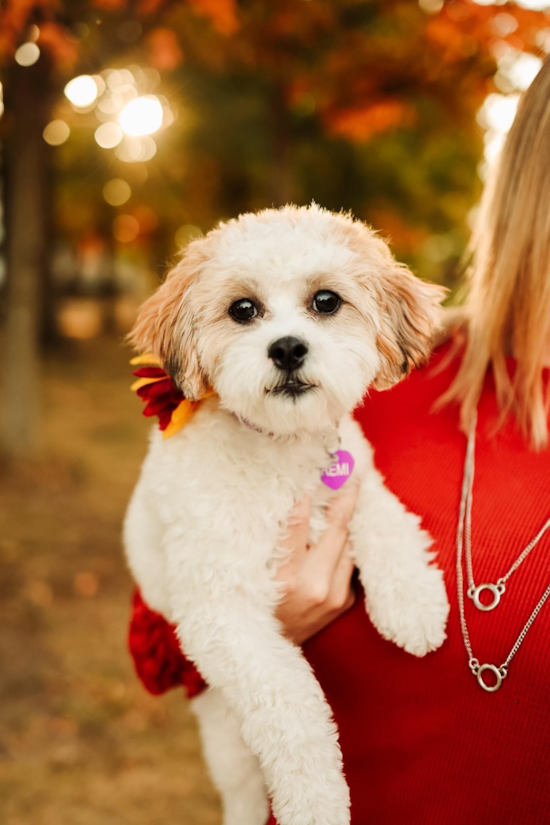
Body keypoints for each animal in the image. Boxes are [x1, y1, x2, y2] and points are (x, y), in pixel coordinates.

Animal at [125, 204, 452, 824]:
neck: (282, 447)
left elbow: (387, 521)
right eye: (242, 310)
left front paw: (413, 603)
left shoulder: (356, 477)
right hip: (227, 742)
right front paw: (316, 802)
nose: (287, 349)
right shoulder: (222, 613)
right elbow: (294, 710)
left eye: (326, 301)